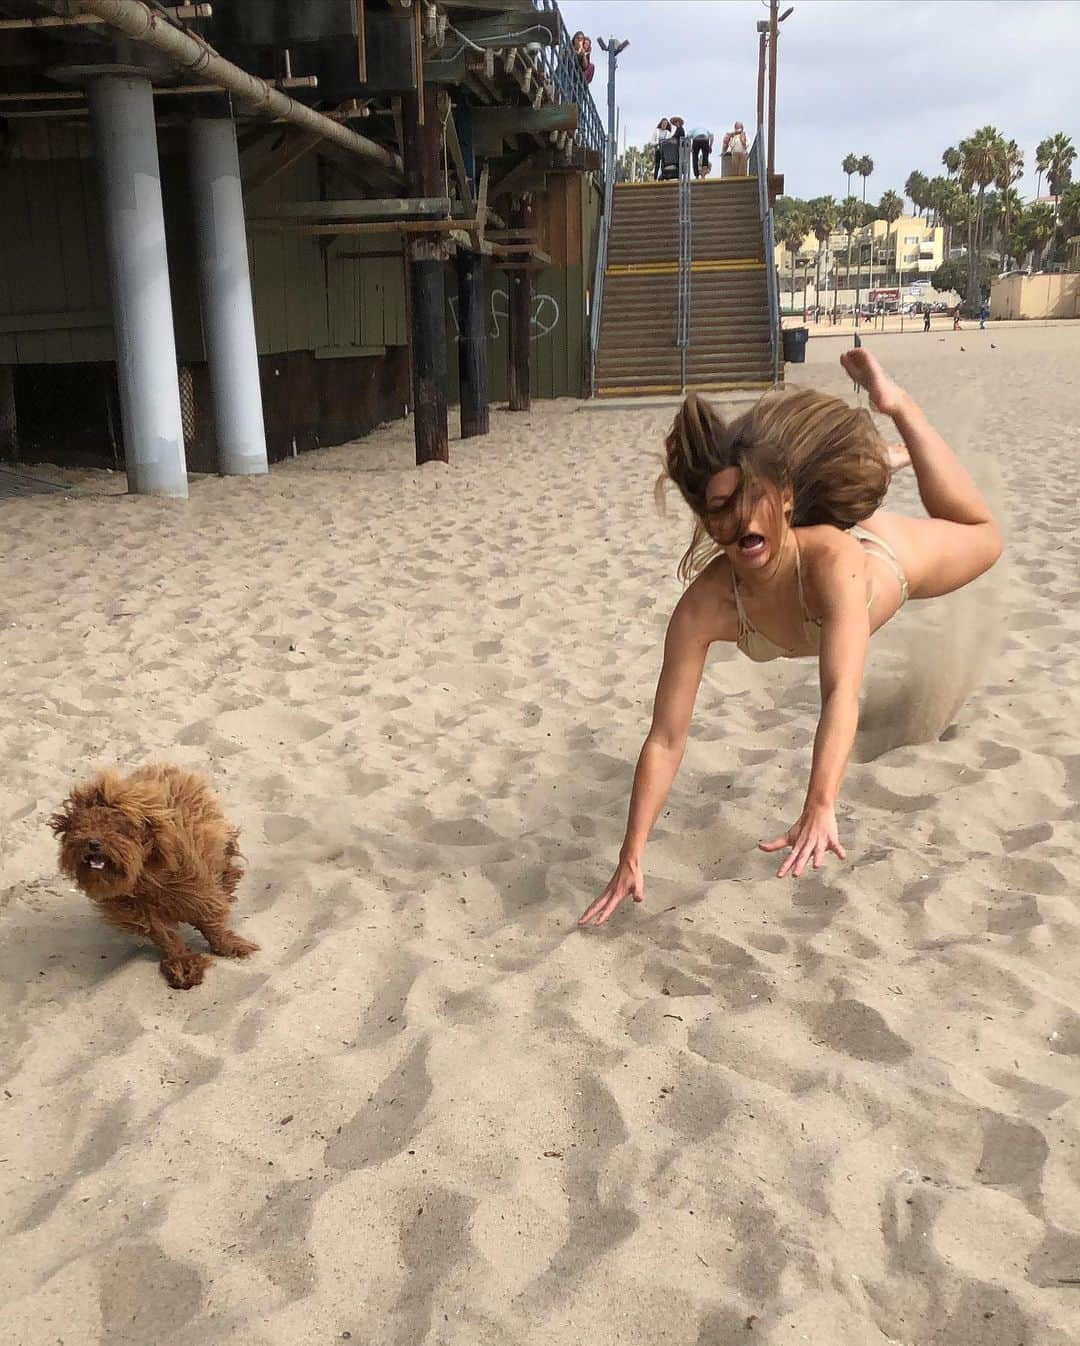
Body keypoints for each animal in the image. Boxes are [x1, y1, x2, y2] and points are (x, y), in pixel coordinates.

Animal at [51, 764, 259, 996]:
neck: (143, 877)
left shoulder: (196, 888)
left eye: (117, 829)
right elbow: (166, 937)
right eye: (83, 827)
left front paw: (231, 946)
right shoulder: (140, 911)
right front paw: (182, 964)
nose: (92, 843)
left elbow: (211, 922)